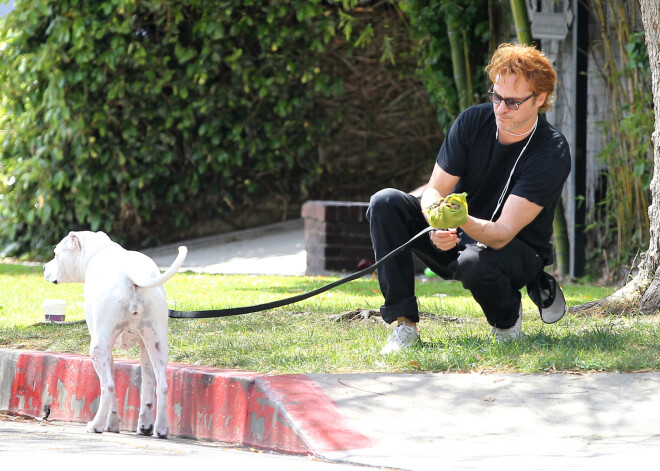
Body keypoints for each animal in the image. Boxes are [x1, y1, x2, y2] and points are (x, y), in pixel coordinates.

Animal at [43, 232, 188, 438]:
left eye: (56, 254)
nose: (43, 268)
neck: (99, 251)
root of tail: (130, 274)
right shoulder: (145, 348)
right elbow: (147, 387)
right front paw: (144, 425)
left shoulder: (106, 348)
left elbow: (112, 389)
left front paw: (111, 423)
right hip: (156, 344)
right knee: (162, 385)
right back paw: (159, 429)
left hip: (99, 348)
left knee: (109, 386)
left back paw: (96, 425)